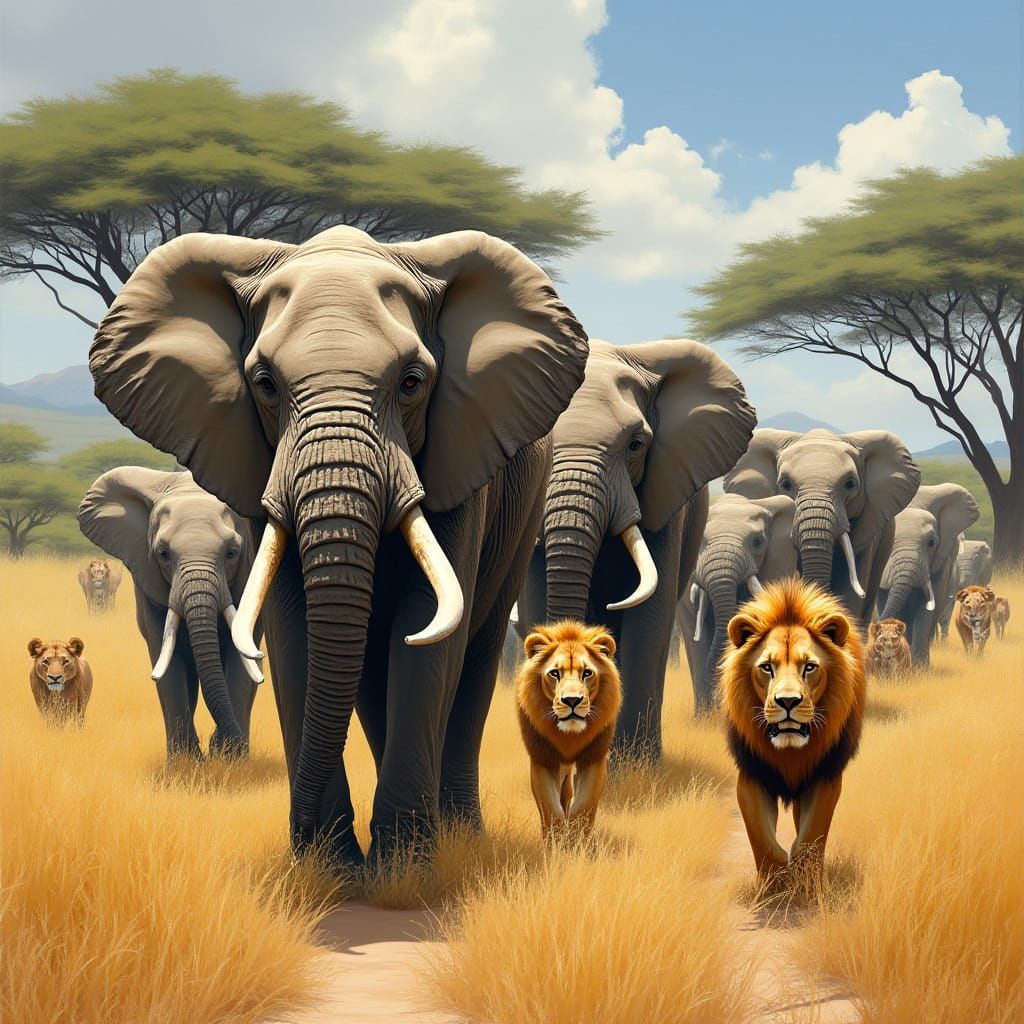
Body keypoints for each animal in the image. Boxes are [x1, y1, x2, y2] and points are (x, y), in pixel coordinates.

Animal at [78, 468, 264, 759]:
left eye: (232, 553)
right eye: (163, 553)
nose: (218, 744)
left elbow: (242, 655)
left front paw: (230, 759)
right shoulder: (147, 580)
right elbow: (166, 656)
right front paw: (184, 761)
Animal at [515, 621, 622, 837]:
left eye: (587, 673)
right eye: (554, 673)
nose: (572, 700)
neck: (569, 735)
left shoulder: (594, 757)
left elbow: (583, 807)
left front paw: (576, 841)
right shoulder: (543, 759)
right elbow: (550, 809)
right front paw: (555, 842)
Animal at [720, 579, 865, 879]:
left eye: (809, 667)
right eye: (766, 667)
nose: (787, 701)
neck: (789, 751)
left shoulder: (825, 775)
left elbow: (810, 839)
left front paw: (807, 883)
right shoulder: (752, 773)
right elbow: (763, 842)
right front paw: (774, 884)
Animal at [876, 483, 979, 667]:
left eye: (931, 543)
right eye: (888, 537)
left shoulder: (942, 562)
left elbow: (928, 606)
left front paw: (919, 669)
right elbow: (884, 600)